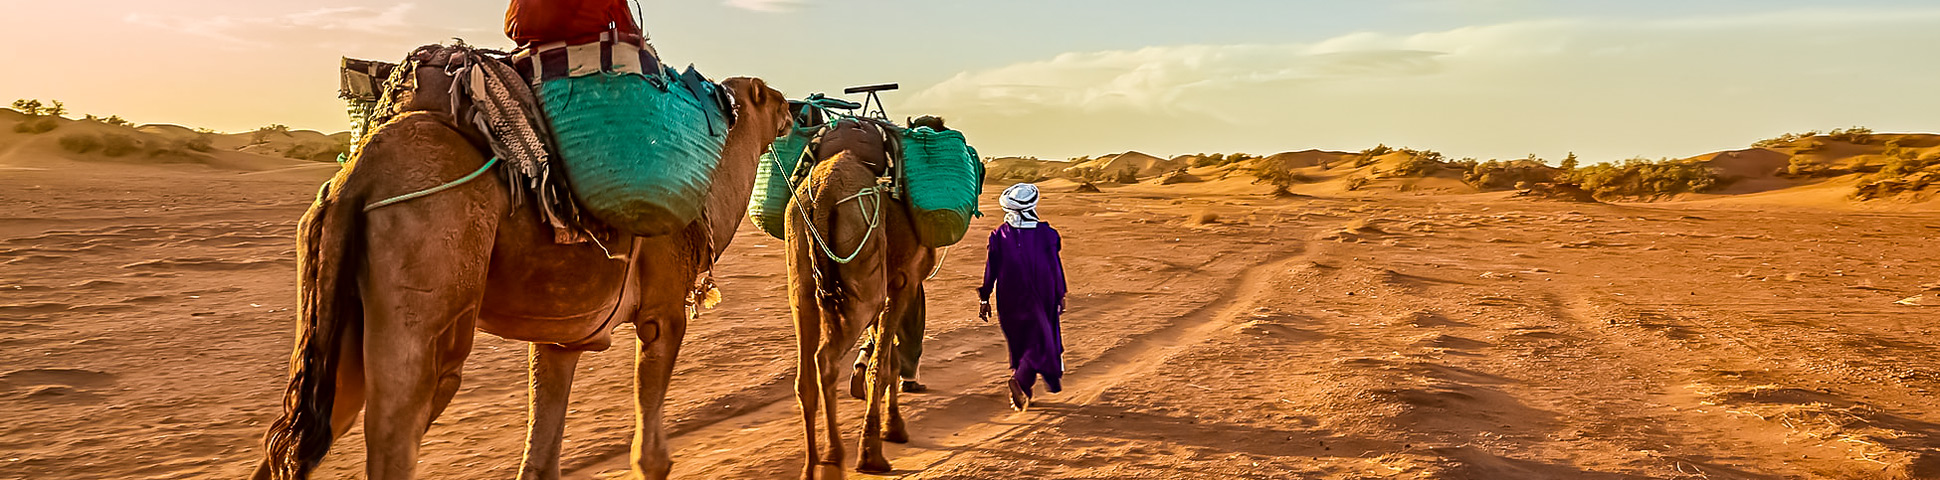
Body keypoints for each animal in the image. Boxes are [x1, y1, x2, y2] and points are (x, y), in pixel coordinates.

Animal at [250, 44, 795, 480]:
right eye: (769, 96)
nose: (794, 109)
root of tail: (357, 175)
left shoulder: (562, 337)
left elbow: (539, 459)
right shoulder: (663, 313)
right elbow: (650, 455)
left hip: (338, 315)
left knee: (295, 438)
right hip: (429, 281)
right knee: (395, 426)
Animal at [787, 118, 938, 478]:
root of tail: (824, 192)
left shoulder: (888, 286)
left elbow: (888, 358)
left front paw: (892, 427)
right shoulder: (902, 282)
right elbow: (883, 366)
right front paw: (875, 450)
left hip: (801, 278)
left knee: (805, 376)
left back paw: (812, 466)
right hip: (862, 274)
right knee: (826, 358)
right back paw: (836, 457)